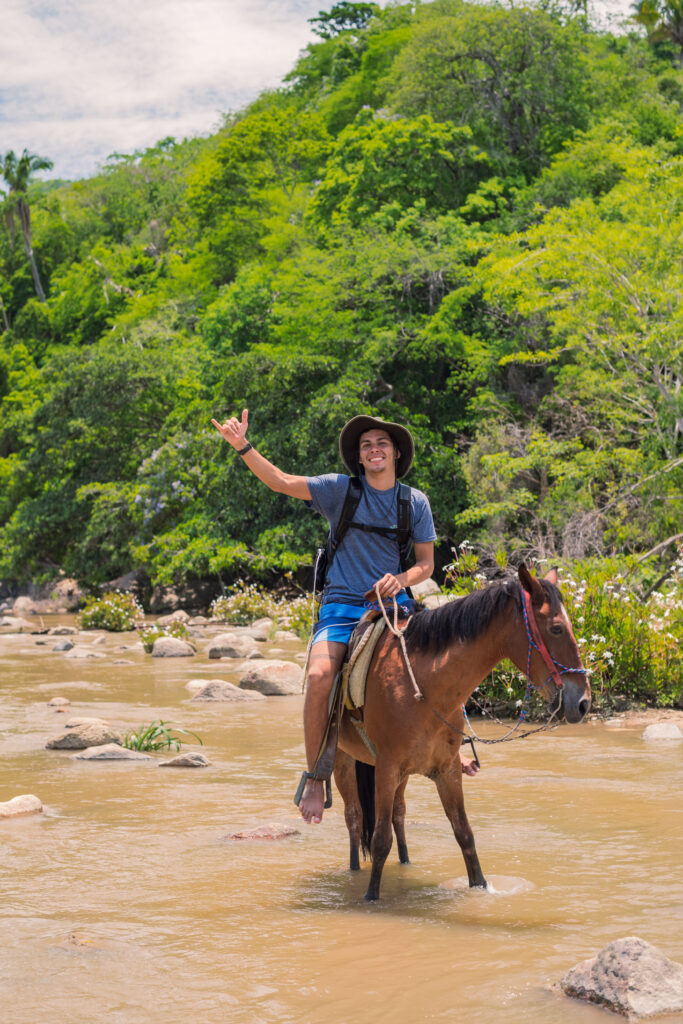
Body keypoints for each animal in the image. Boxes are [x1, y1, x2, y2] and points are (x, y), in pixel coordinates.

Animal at [333, 565, 589, 901]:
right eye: (557, 628)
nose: (583, 702)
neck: (423, 686)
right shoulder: (387, 768)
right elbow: (379, 840)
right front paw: (370, 897)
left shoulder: (448, 769)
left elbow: (464, 834)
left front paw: (481, 888)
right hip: (344, 761)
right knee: (353, 817)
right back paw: (353, 870)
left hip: (399, 776)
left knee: (398, 816)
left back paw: (405, 863)